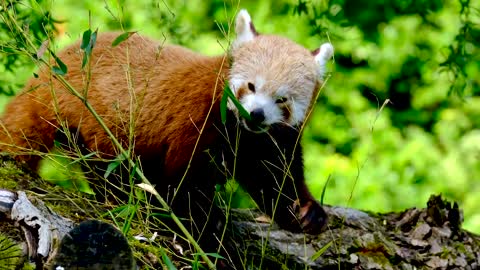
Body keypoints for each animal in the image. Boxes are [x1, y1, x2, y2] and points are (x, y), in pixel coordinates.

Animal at [0, 8, 334, 240]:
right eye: (251, 86)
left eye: (282, 100)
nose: (256, 115)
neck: (240, 133)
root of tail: (54, 66)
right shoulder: (198, 123)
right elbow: (182, 184)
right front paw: (207, 227)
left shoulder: (269, 141)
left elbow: (276, 179)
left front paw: (306, 212)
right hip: (81, 115)